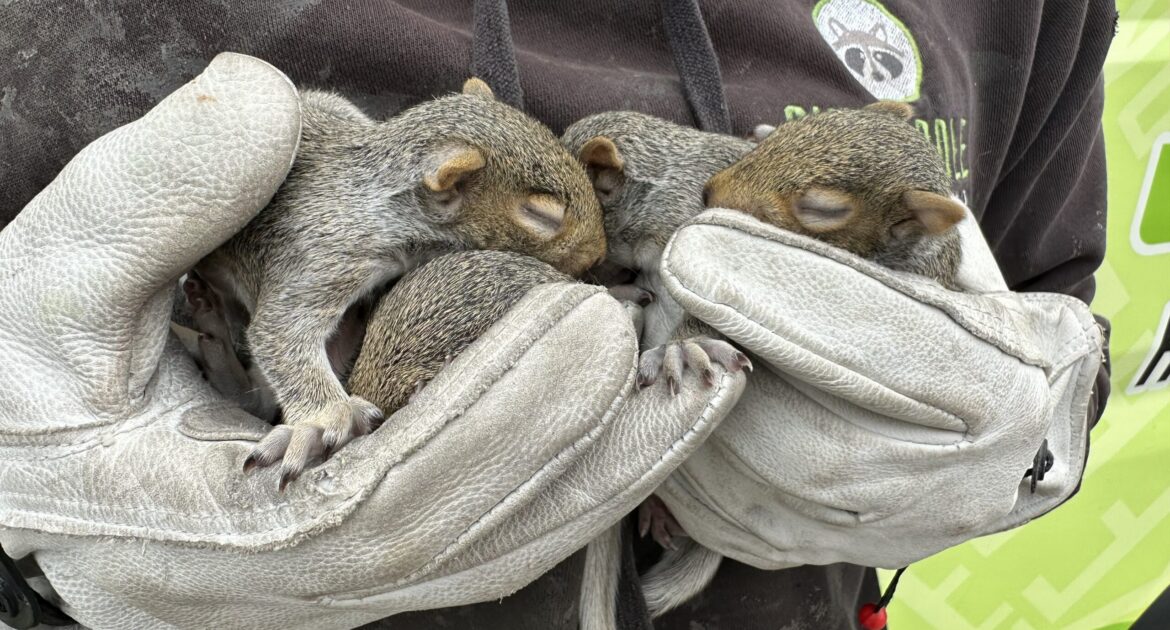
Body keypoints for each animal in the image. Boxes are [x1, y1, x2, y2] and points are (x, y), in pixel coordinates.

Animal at [189, 78, 611, 486]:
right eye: (541, 216)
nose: (599, 255)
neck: (386, 210)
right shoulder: (322, 256)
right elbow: (280, 330)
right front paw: (327, 418)